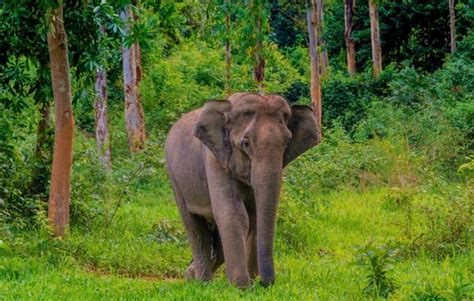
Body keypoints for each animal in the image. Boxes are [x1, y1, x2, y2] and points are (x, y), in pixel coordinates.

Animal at [165, 92, 320, 288]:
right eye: (245, 143)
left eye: (287, 142)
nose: (264, 283)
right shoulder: (215, 160)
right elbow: (234, 214)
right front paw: (242, 287)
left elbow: (254, 217)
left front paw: (251, 283)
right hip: (174, 177)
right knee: (195, 227)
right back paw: (201, 282)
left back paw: (191, 274)